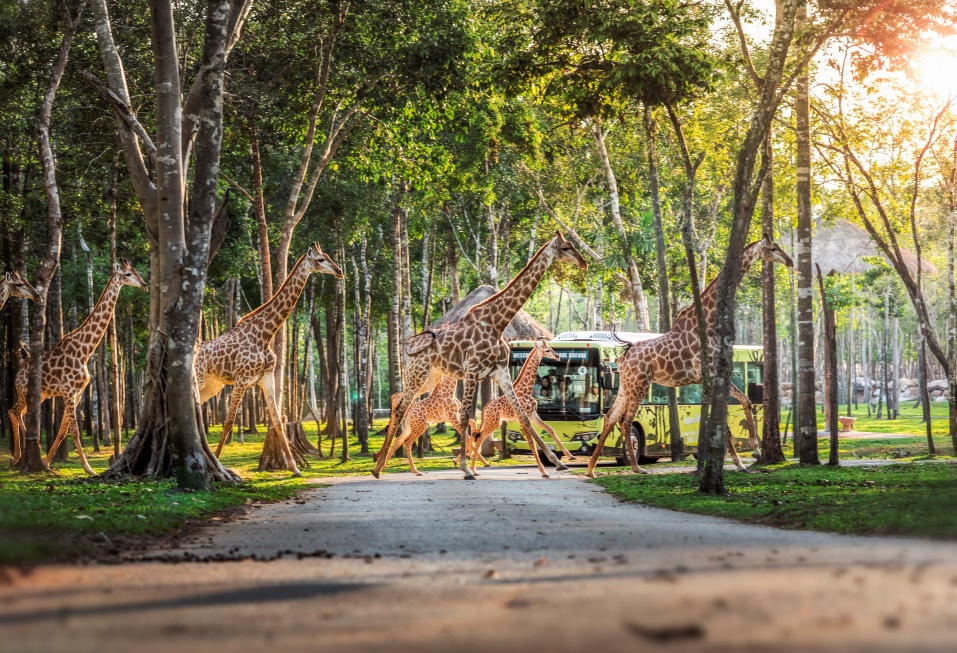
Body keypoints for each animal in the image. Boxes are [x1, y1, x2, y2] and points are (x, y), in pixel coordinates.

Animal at [8, 260, 148, 474]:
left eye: (135, 271)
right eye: (128, 274)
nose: (144, 285)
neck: (85, 350)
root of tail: (20, 370)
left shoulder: (78, 391)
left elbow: (63, 429)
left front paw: (47, 462)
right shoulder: (67, 390)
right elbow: (73, 429)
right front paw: (89, 469)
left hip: (40, 395)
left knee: (19, 413)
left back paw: (21, 457)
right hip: (24, 391)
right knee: (14, 412)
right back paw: (17, 457)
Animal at [200, 241, 342, 474]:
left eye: (329, 256)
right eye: (321, 259)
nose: (339, 271)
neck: (266, 334)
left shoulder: (265, 378)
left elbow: (277, 422)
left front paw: (295, 468)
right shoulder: (241, 379)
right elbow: (229, 422)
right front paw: (219, 464)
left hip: (213, 385)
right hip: (200, 378)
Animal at [462, 338, 580, 472]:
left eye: (551, 348)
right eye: (547, 350)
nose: (557, 356)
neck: (527, 390)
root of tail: (485, 408)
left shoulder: (532, 414)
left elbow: (550, 430)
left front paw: (570, 456)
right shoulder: (523, 417)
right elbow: (531, 440)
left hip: (492, 421)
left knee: (477, 435)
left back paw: (472, 467)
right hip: (493, 422)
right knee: (480, 437)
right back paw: (473, 469)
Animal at [584, 237, 792, 476]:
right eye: (773, 248)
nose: (789, 261)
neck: (709, 323)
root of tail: (624, 357)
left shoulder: (711, 378)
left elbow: (744, 402)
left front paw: (747, 457)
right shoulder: (708, 376)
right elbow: (724, 420)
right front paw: (748, 455)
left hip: (625, 385)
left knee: (610, 417)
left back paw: (591, 469)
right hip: (639, 384)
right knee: (626, 420)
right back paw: (636, 467)